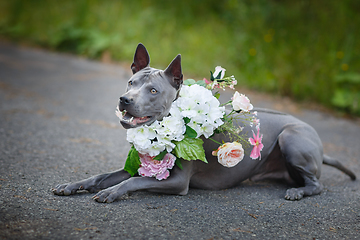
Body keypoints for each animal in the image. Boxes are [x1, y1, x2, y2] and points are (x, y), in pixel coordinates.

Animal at [52, 43, 356, 202]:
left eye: (153, 90)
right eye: (131, 82)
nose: (124, 99)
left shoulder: (177, 183)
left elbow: (133, 182)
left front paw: (112, 192)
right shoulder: (136, 165)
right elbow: (101, 176)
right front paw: (73, 185)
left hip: (291, 137)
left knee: (317, 184)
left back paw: (298, 192)